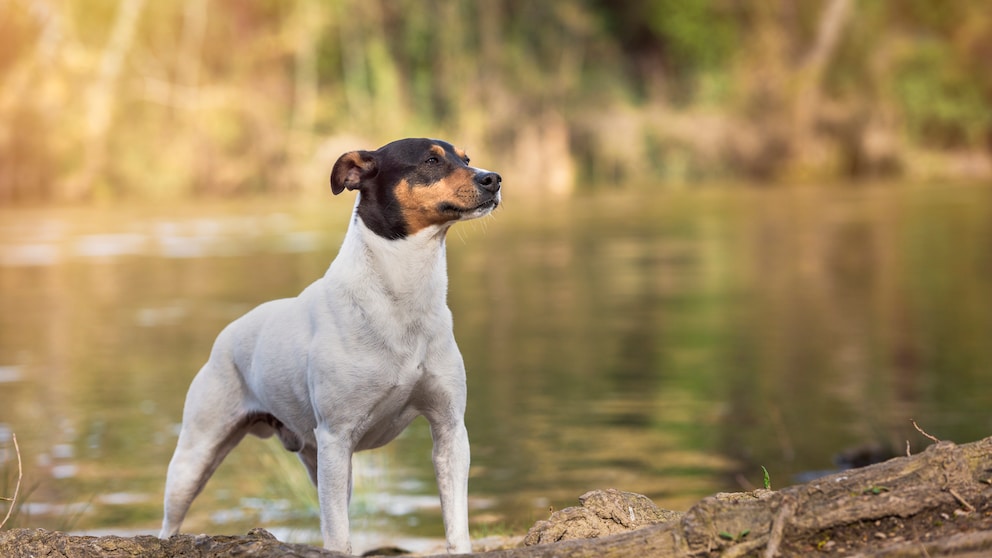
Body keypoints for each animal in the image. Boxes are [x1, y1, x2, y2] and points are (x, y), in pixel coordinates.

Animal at [163, 138, 504, 552]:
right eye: (430, 160)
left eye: (467, 158)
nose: (493, 179)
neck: (402, 297)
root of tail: (227, 334)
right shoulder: (337, 437)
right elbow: (339, 538)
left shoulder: (450, 430)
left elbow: (456, 527)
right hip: (196, 456)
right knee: (170, 520)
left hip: (317, 459)